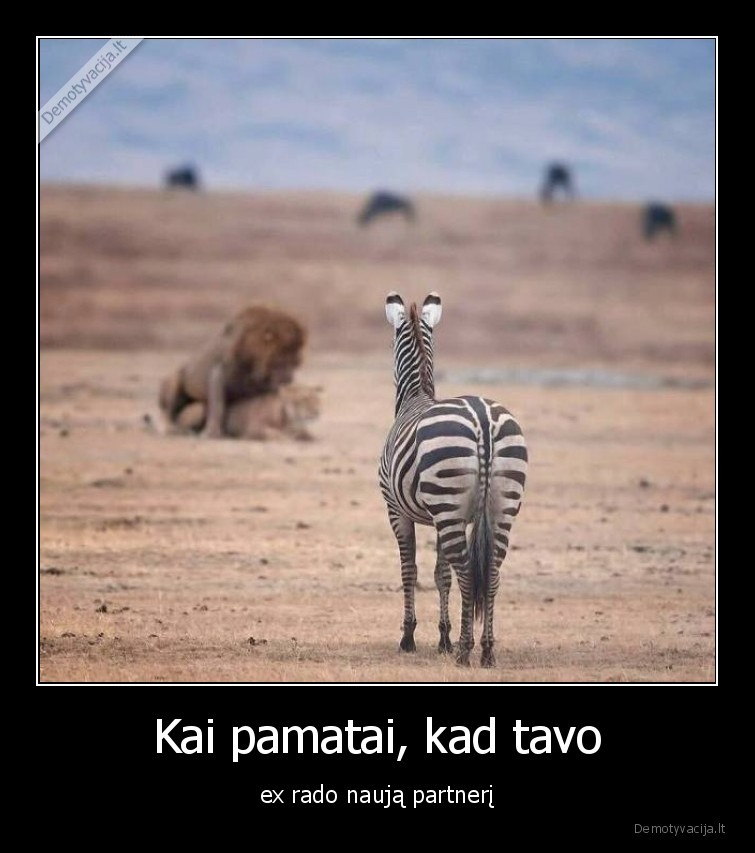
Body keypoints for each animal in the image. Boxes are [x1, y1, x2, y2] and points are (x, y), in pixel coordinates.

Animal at [379, 292, 528, 667]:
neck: (415, 397)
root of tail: (483, 419)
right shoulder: (442, 517)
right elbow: (440, 574)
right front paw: (443, 637)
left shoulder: (397, 511)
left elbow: (411, 571)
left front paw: (409, 637)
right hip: (500, 508)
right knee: (490, 572)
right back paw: (486, 650)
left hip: (447, 503)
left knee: (467, 573)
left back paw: (465, 650)